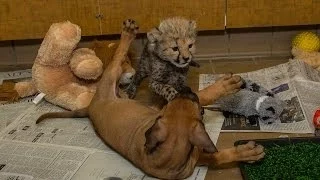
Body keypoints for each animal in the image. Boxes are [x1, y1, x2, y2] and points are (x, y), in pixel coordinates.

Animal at [36, 19, 264, 179]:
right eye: (197, 112)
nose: (186, 91)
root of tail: (90, 106)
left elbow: (214, 156)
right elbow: (216, 154)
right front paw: (247, 153)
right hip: (110, 78)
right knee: (118, 55)